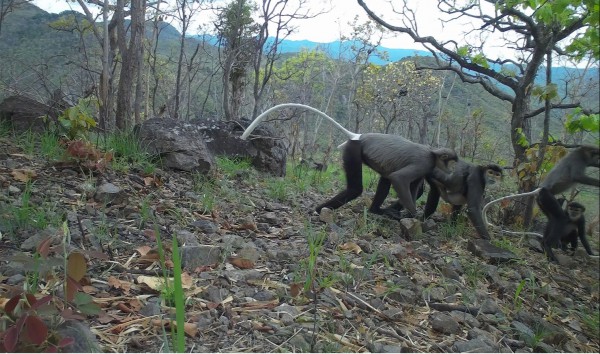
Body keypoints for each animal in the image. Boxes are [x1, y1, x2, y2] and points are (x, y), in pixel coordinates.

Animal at [241, 103, 458, 218]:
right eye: (451, 162)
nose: (452, 170)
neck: (433, 154)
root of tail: (358, 136)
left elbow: (413, 187)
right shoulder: (424, 162)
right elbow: (400, 179)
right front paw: (413, 215)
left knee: (385, 177)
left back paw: (375, 210)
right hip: (353, 150)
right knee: (357, 188)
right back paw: (319, 211)